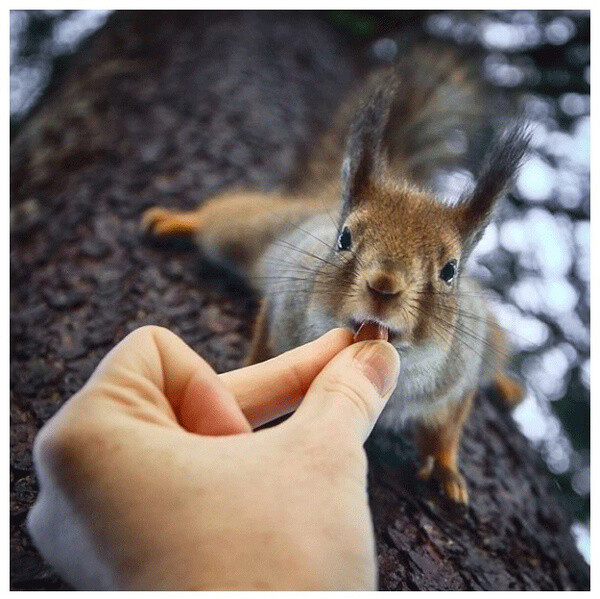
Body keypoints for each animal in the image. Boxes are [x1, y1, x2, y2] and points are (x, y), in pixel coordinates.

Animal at [143, 44, 528, 506]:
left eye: (450, 270)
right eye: (344, 239)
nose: (384, 286)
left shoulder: (459, 376)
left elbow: (447, 428)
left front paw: (446, 469)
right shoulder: (283, 304)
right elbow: (264, 355)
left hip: (489, 336)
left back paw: (506, 384)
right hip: (253, 229)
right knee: (223, 219)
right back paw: (179, 220)